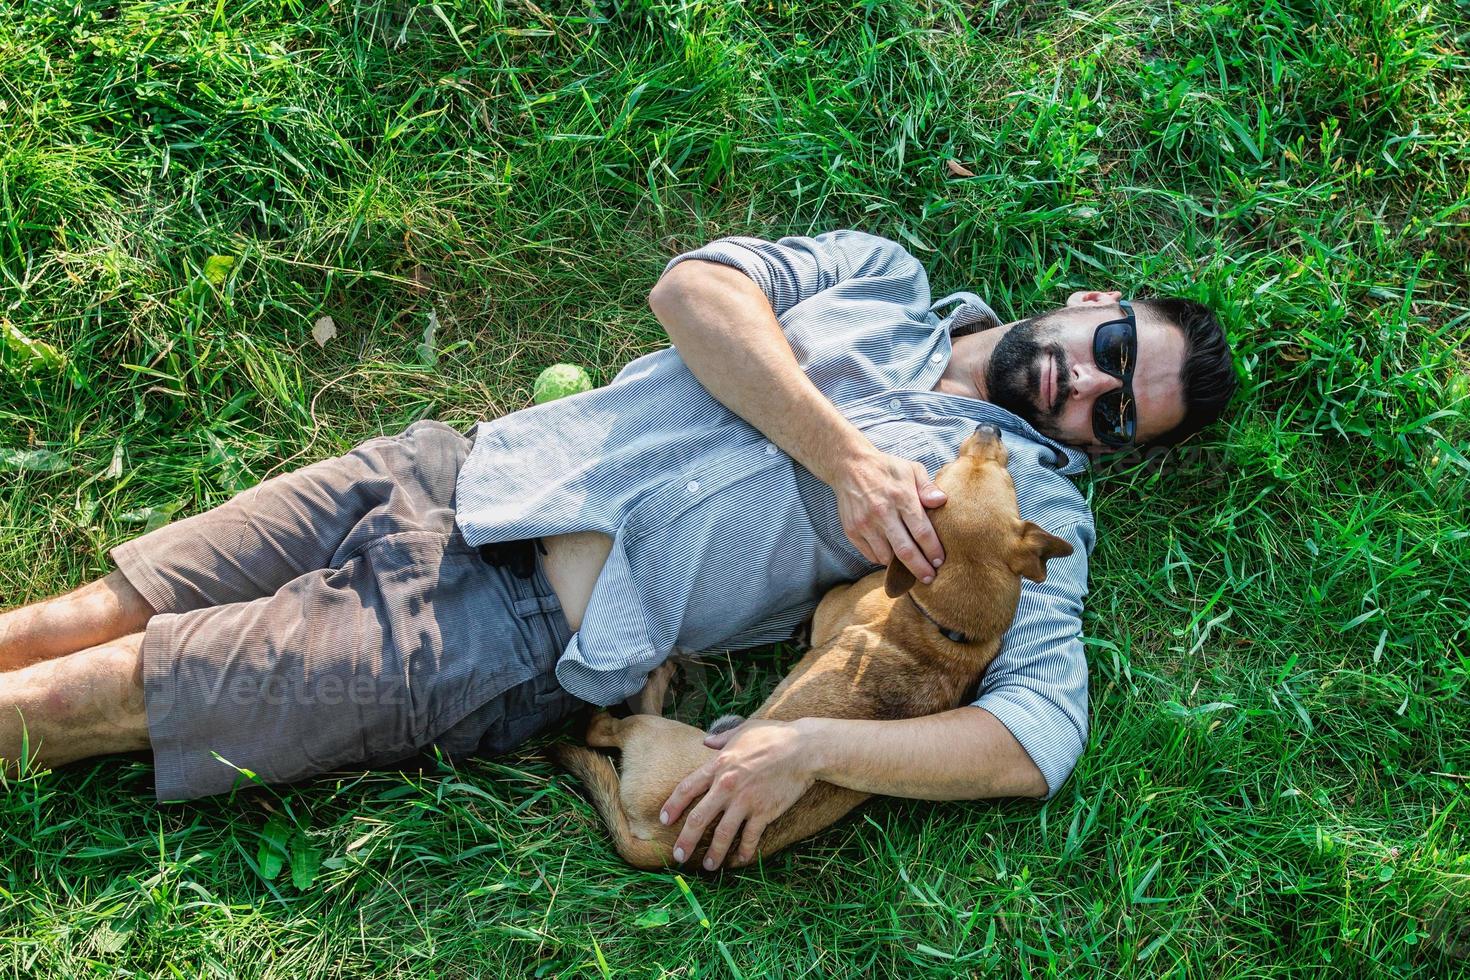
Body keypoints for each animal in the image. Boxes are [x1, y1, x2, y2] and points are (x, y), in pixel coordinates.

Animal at [552, 426, 1070, 869]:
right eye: (1007, 480)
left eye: (942, 474)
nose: (991, 429)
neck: (951, 628)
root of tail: (666, 849)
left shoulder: (836, 608)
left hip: (654, 734)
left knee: (604, 728)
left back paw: (648, 684)